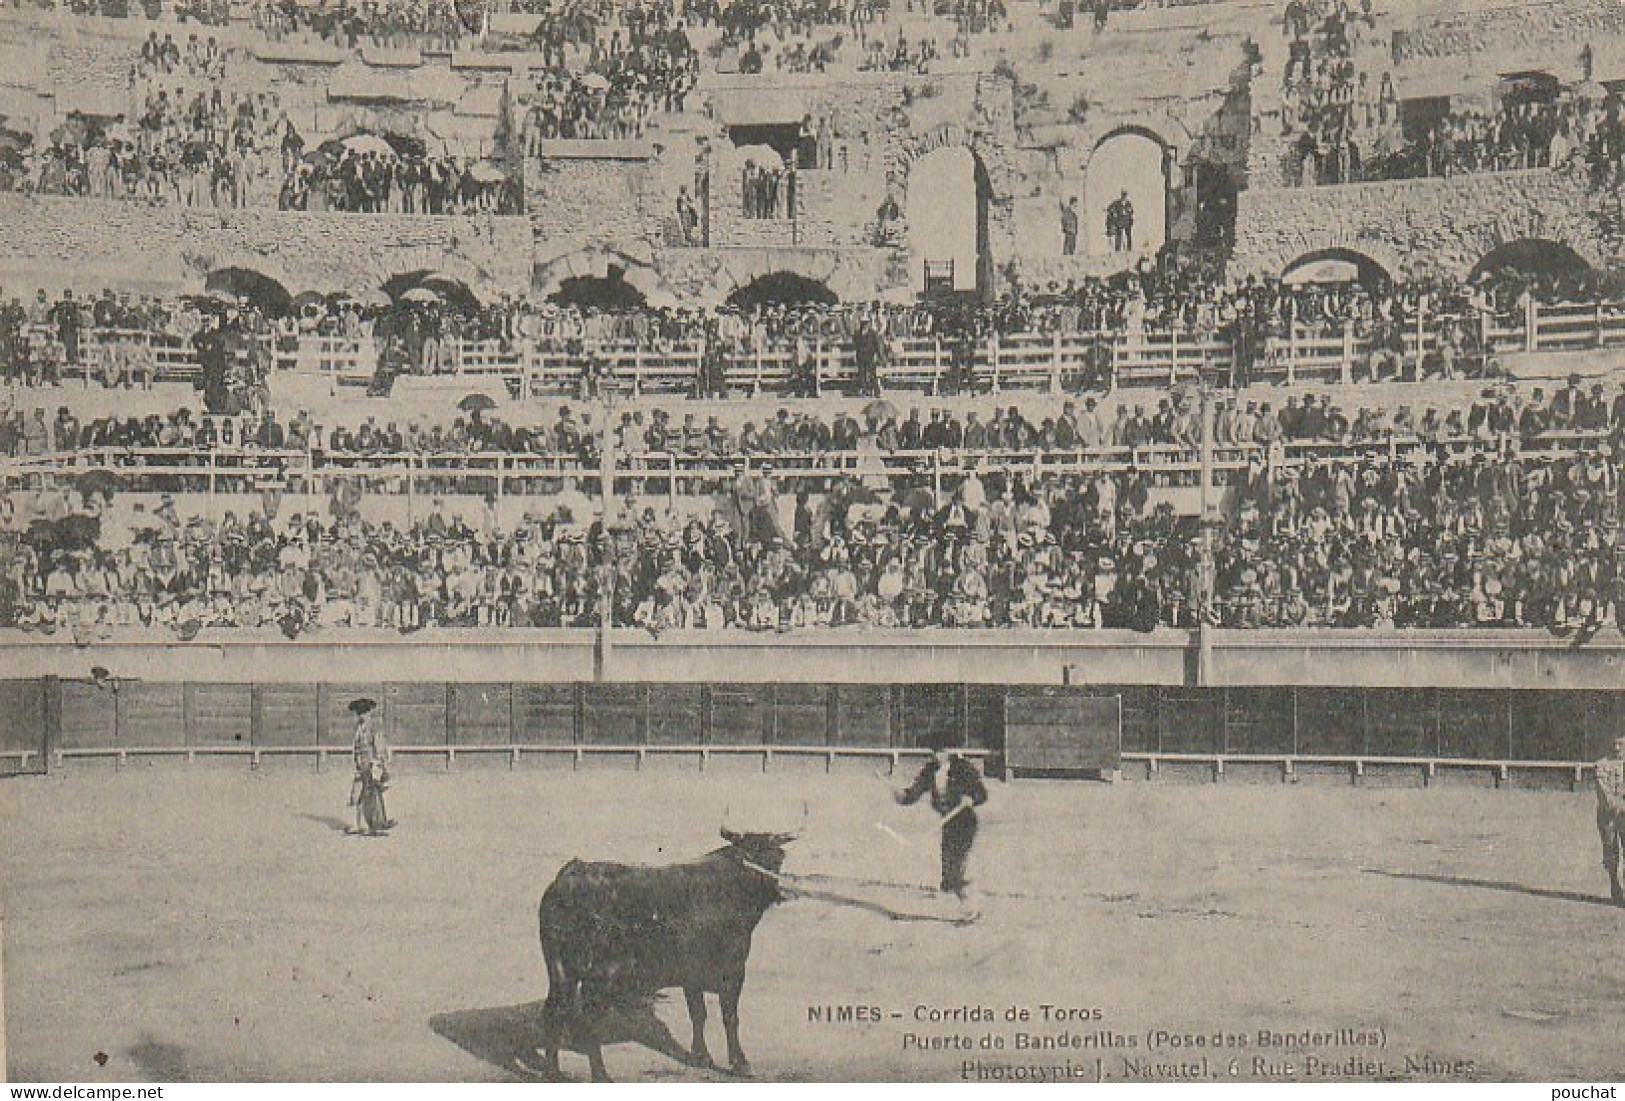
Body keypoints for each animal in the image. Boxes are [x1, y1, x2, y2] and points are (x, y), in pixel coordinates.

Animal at [536, 831, 796, 1084]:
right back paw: (600, 1075)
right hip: (600, 976)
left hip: (560, 971)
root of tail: (571, 875)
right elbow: (729, 1017)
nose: (780, 889)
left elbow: (698, 1013)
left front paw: (701, 1057)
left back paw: (553, 1072)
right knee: (588, 1017)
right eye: (752, 854)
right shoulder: (734, 970)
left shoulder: (692, 976)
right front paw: (740, 1064)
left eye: (778, 857)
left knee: (555, 1010)